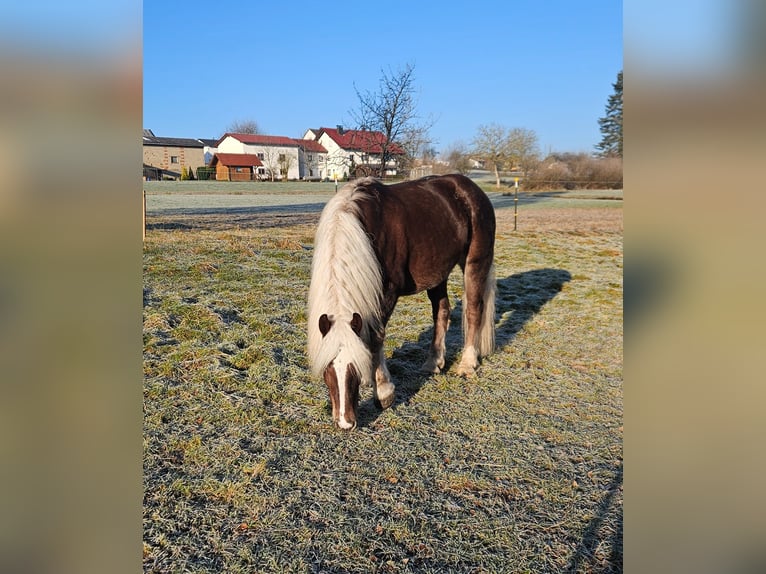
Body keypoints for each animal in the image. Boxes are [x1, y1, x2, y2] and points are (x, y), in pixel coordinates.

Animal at [307, 174, 496, 430]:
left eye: (355, 368)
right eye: (328, 368)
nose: (345, 423)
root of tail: (470, 188)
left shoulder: (387, 293)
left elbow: (375, 338)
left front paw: (383, 393)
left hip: (475, 263)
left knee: (474, 310)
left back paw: (467, 364)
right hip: (438, 272)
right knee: (442, 312)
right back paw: (433, 362)